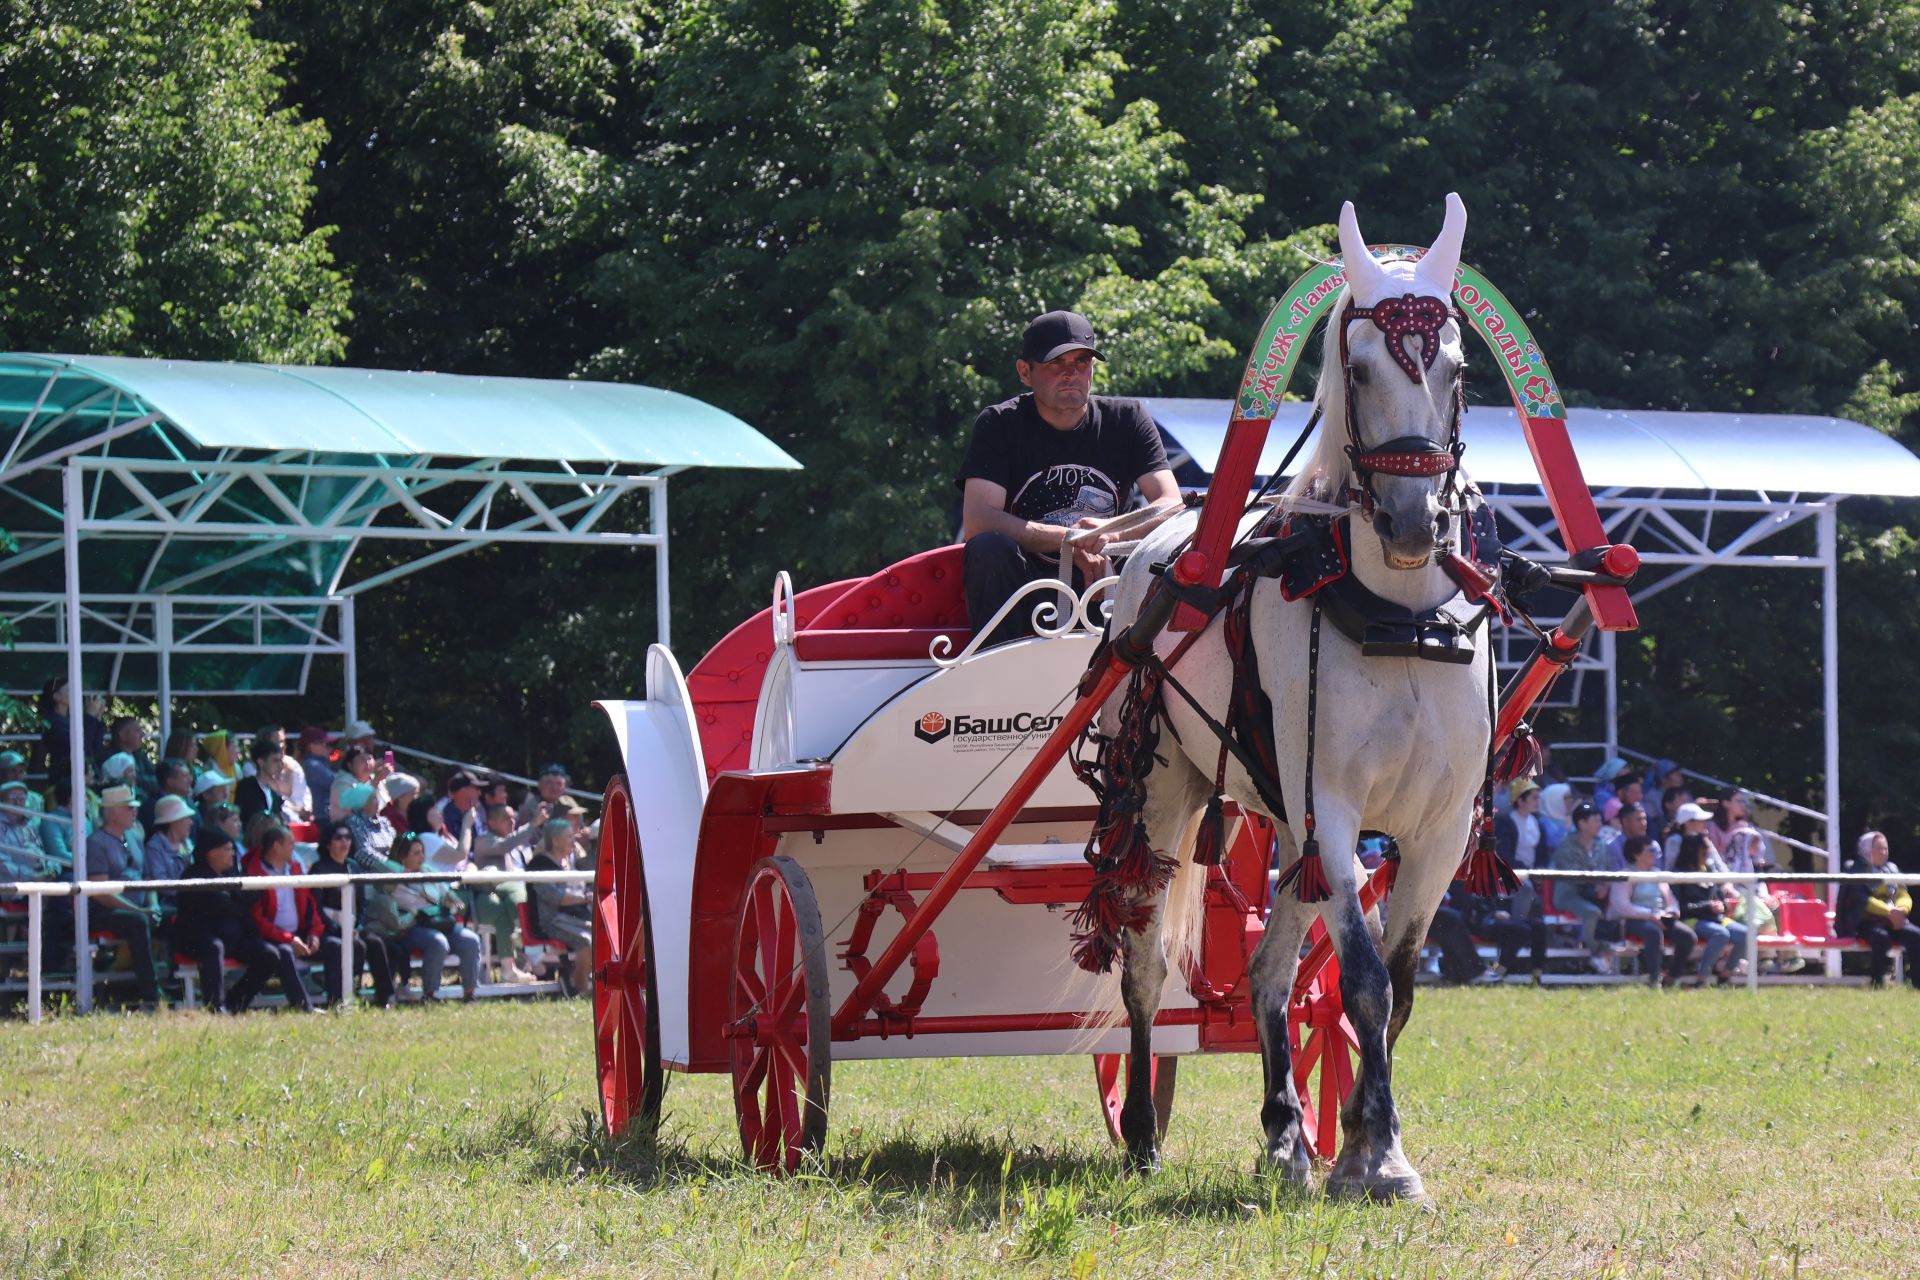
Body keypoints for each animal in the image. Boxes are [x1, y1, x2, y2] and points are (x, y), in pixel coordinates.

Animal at [1105, 192, 1489, 1205]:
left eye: (1456, 368)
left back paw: (1285, 1134)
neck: (1399, 622)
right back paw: (1141, 1132)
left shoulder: (1438, 829)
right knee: (1144, 964)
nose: (1410, 524)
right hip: (1162, 792)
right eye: (1358, 369)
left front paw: (1350, 1137)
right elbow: (1361, 981)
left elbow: (1394, 988)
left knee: (1272, 973)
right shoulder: (1336, 809)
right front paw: (1380, 1158)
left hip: (1284, 824)